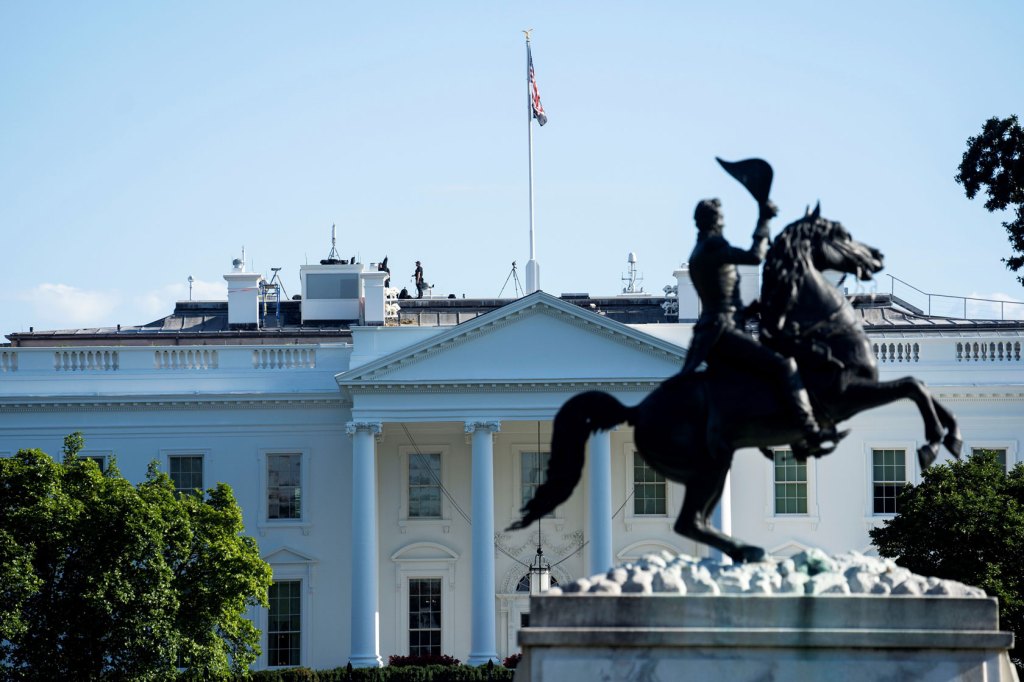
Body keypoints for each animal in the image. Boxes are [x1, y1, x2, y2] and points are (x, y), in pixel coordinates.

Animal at [509, 209, 958, 561]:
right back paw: (744, 551)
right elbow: (914, 385)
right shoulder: (846, 394)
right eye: (840, 235)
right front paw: (936, 442)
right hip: (709, 463)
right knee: (690, 522)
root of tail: (637, 409)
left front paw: (946, 436)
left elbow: (917, 386)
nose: (876, 257)